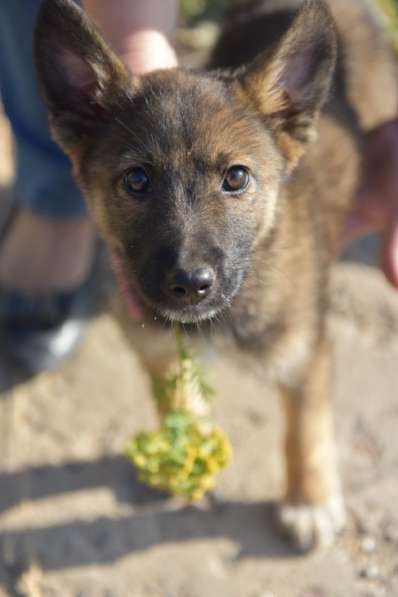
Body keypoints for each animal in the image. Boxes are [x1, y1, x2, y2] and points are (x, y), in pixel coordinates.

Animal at [33, 0, 398, 548]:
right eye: (136, 180)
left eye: (236, 178)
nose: (189, 284)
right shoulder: (155, 344)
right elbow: (178, 399)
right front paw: (185, 453)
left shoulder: (304, 353)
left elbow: (305, 429)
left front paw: (308, 500)